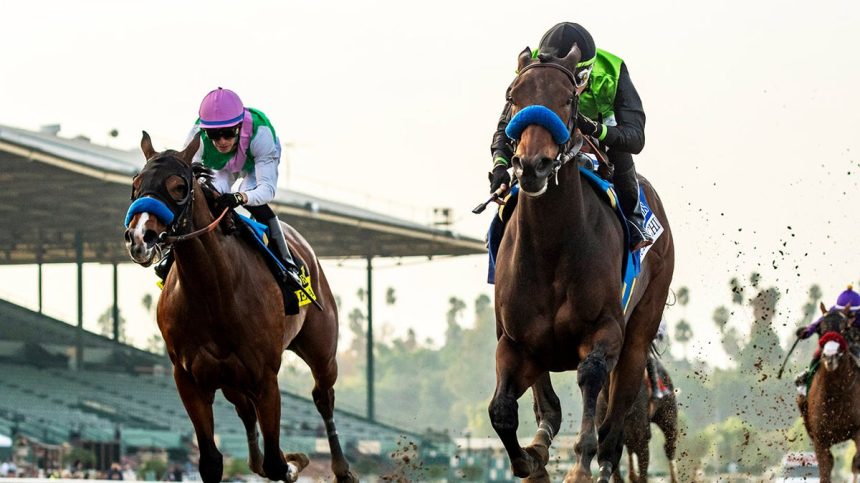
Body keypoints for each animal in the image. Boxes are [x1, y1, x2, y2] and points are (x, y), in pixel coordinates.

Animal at [122, 134, 358, 483]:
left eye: (178, 186)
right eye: (136, 184)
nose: (139, 237)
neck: (214, 292)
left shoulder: (265, 377)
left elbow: (276, 463)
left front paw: (295, 462)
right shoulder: (189, 379)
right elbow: (211, 462)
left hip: (321, 350)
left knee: (323, 397)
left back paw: (342, 469)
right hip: (231, 379)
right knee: (246, 413)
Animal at [800, 304, 860, 482]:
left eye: (845, 328)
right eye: (820, 329)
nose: (830, 356)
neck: (836, 394)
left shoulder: (858, 430)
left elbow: (856, 463)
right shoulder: (821, 438)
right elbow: (825, 470)